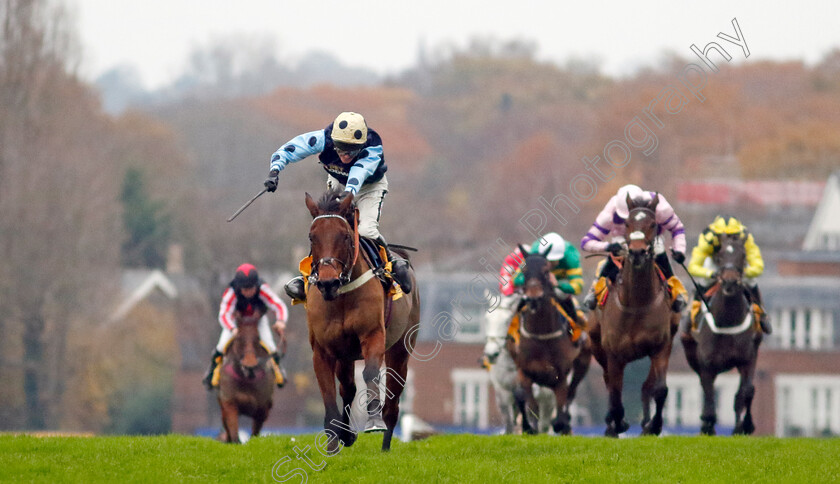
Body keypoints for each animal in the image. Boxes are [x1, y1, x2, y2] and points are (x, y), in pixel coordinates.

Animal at [506, 246, 592, 434]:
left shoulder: (560, 375)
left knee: (571, 392)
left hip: (583, 362)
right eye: (524, 271)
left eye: (546, 272)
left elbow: (560, 411)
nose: (534, 297)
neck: (541, 335)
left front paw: (562, 423)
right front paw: (528, 426)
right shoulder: (525, 372)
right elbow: (526, 401)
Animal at [588, 194, 680, 438]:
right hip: (596, 345)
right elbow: (615, 391)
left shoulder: (661, 346)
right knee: (609, 383)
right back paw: (612, 423)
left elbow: (660, 389)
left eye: (653, 224)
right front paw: (617, 423)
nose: (637, 252)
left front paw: (653, 426)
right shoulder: (613, 353)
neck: (637, 303)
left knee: (647, 385)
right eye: (628, 224)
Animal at [684, 231, 760, 434]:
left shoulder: (747, 359)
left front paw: (743, 426)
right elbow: (709, 396)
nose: (730, 281)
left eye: (743, 255)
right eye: (719, 256)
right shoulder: (706, 364)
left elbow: (746, 392)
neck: (727, 321)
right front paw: (707, 426)